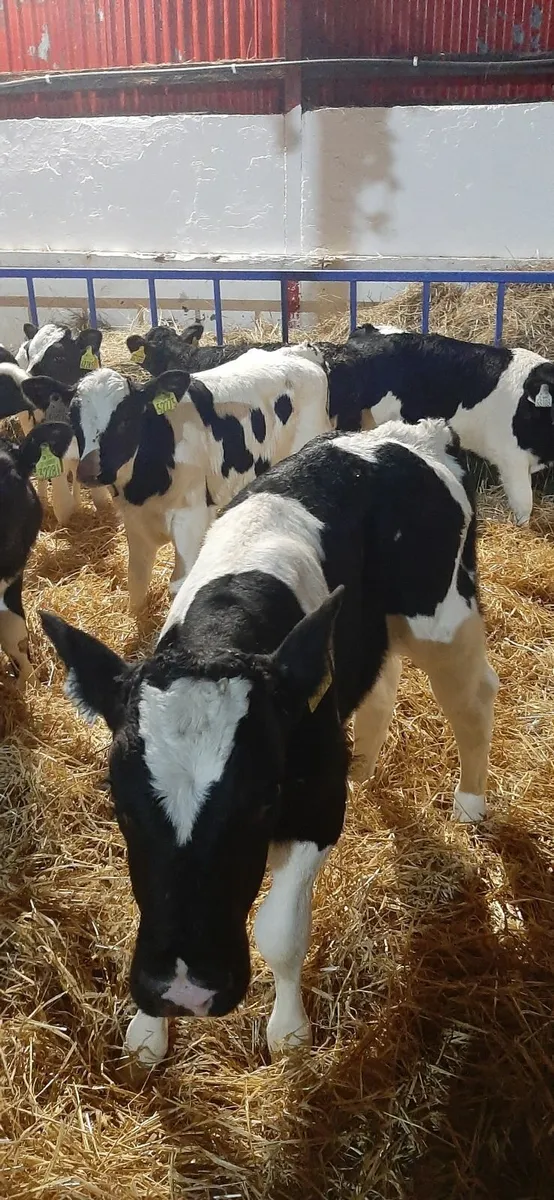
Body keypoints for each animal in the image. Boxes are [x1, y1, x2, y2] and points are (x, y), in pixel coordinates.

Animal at [23, 345, 330, 611]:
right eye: (73, 416)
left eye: (126, 418)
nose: (90, 470)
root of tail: (299, 352)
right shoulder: (135, 521)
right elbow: (136, 583)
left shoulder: (190, 520)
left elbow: (179, 584)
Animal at [41, 417, 498, 1066]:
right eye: (121, 807)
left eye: (260, 802)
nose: (185, 990)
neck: (220, 633)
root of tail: (416, 431)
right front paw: (149, 1030)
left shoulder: (318, 808)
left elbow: (279, 933)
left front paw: (289, 1033)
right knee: (381, 687)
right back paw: (366, 765)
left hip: (444, 616)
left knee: (473, 700)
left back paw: (470, 803)